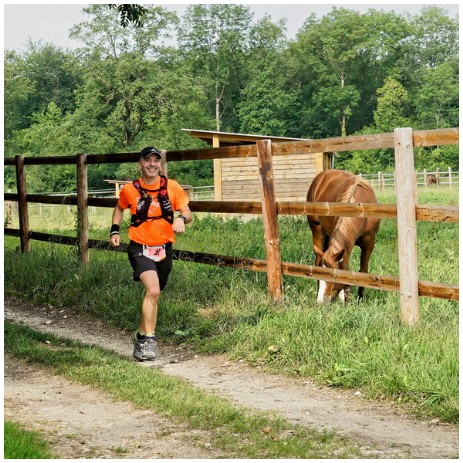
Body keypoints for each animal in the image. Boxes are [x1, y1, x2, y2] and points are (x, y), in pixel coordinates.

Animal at [308, 170, 380, 304]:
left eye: (334, 276)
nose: (321, 301)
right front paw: (344, 299)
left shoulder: (369, 243)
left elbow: (363, 270)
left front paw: (359, 299)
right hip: (317, 231)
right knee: (317, 260)